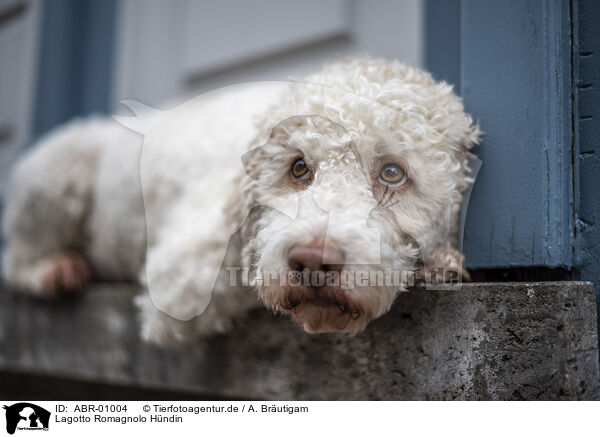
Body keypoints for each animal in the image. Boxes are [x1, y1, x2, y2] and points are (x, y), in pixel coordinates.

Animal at [1, 58, 478, 344]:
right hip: (56, 168)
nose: (311, 261)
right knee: (15, 260)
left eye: (392, 173)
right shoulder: (180, 282)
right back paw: (54, 268)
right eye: (298, 167)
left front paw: (439, 262)